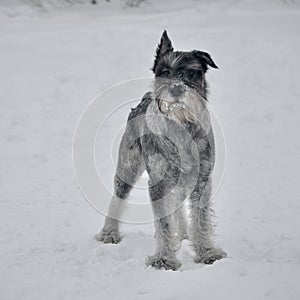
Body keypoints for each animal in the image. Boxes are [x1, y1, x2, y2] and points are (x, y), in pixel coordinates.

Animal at [96, 31, 227, 272]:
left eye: (192, 72)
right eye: (164, 72)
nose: (175, 88)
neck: (182, 126)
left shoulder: (202, 181)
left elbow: (201, 219)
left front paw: (207, 252)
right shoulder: (158, 183)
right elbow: (164, 223)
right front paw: (164, 260)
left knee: (176, 205)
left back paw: (183, 233)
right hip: (127, 170)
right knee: (118, 199)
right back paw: (109, 233)